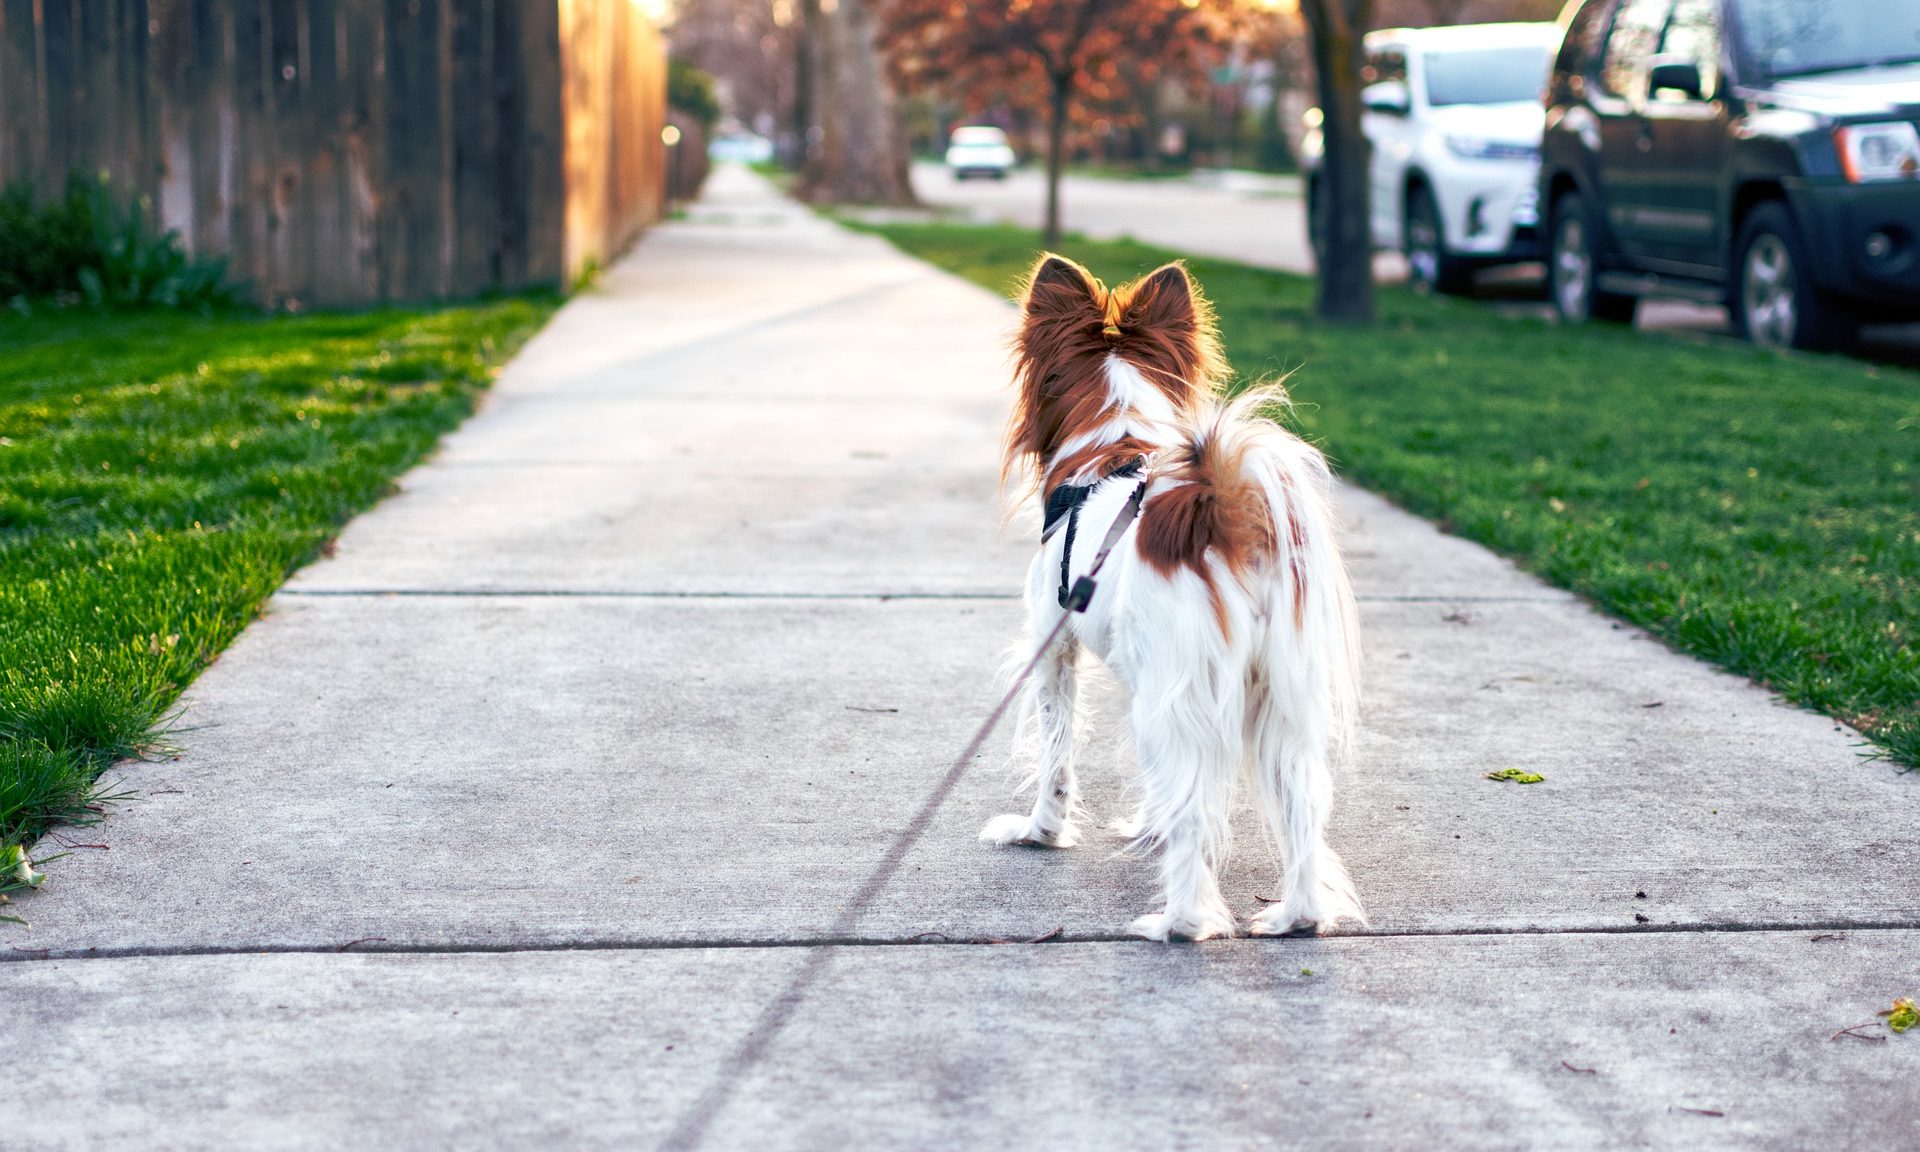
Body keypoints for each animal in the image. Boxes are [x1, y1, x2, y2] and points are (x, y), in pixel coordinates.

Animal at [990, 257, 1367, 940]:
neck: (1113, 444)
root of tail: (1224, 512)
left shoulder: (1055, 651)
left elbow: (1056, 755)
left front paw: (1040, 833)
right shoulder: (1151, 677)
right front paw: (1147, 827)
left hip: (1183, 690)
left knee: (1195, 809)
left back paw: (1180, 923)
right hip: (1278, 697)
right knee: (1301, 803)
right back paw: (1296, 917)